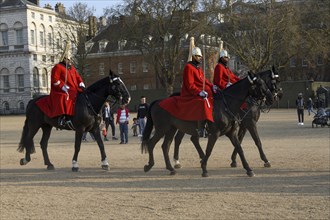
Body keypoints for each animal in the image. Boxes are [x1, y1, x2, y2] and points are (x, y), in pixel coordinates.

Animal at [142, 72, 274, 177]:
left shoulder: (232, 132)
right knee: (152, 143)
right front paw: (204, 169)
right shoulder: (216, 133)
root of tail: (158, 101)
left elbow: (240, 148)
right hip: (162, 129)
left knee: (166, 146)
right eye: (260, 84)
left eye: (266, 83)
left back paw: (171, 168)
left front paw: (248, 169)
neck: (226, 105)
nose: (272, 97)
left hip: (171, 129)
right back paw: (150, 165)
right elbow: (209, 150)